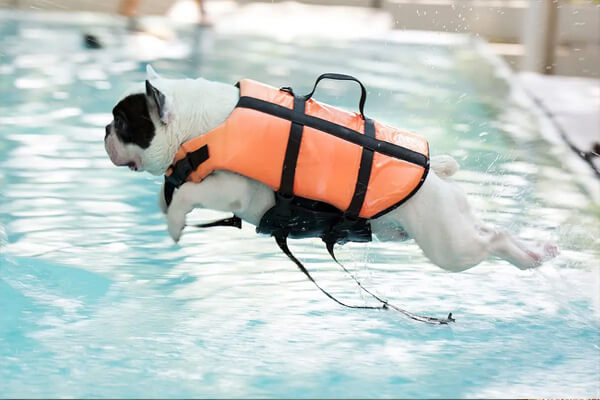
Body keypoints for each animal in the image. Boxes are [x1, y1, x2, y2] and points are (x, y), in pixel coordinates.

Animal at [103, 65, 556, 274]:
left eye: (122, 123)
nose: (105, 129)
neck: (199, 124)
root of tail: (436, 172)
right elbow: (169, 191)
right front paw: (165, 205)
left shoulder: (235, 189)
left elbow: (188, 193)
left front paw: (175, 222)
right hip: (447, 229)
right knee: (489, 230)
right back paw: (537, 253)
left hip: (448, 246)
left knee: (493, 238)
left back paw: (531, 256)